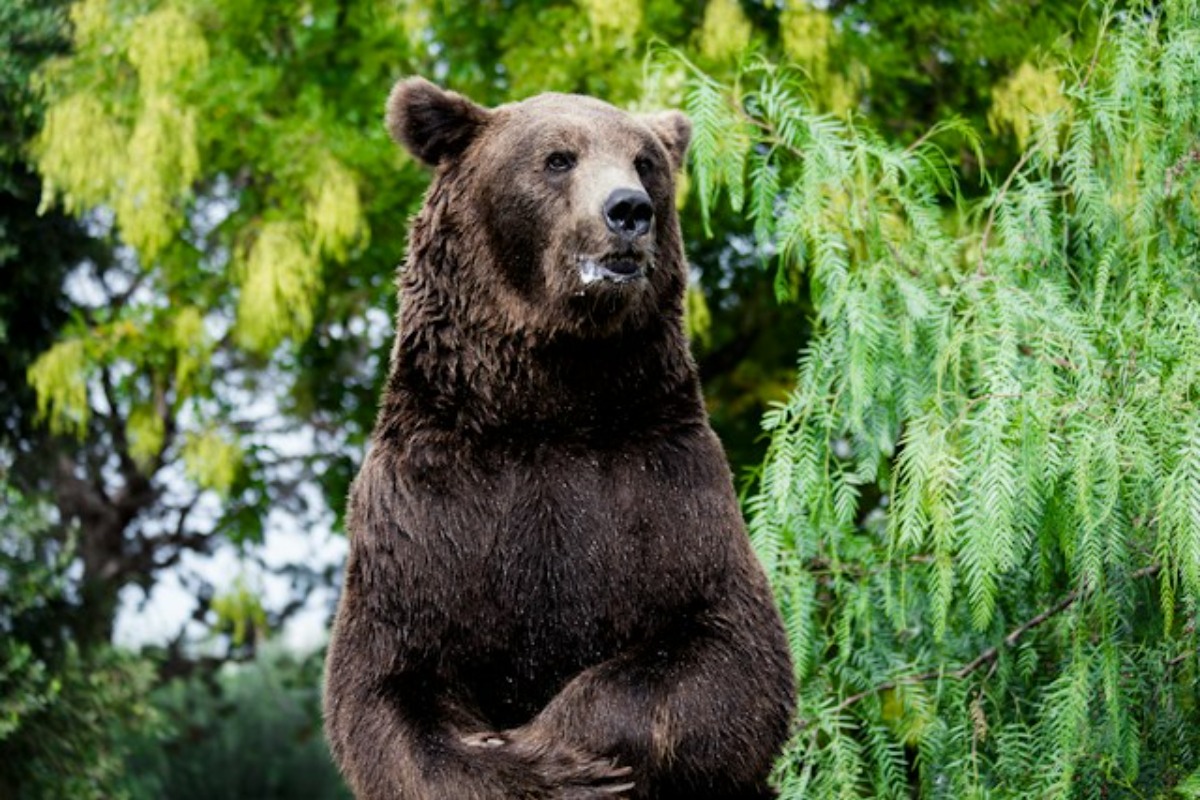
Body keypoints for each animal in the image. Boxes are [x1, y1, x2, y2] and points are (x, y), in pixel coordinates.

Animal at [323, 77, 795, 800]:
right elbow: (386, 687)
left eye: (645, 163)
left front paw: (569, 748)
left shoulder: (666, 483)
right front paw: (535, 766)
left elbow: (728, 656)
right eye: (557, 158)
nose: (628, 210)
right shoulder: (427, 508)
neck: (551, 401)